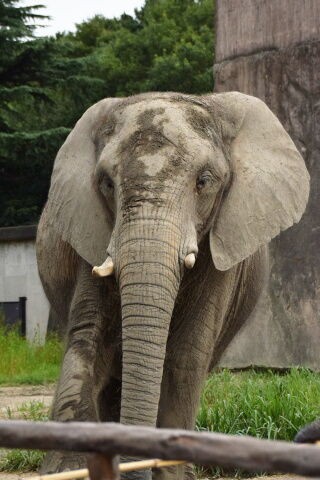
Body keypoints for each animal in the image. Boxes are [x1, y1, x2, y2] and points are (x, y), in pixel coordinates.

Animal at [36, 92, 308, 478]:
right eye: (106, 184)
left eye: (204, 181)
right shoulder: (92, 234)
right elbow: (88, 339)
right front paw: (67, 466)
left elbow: (187, 351)